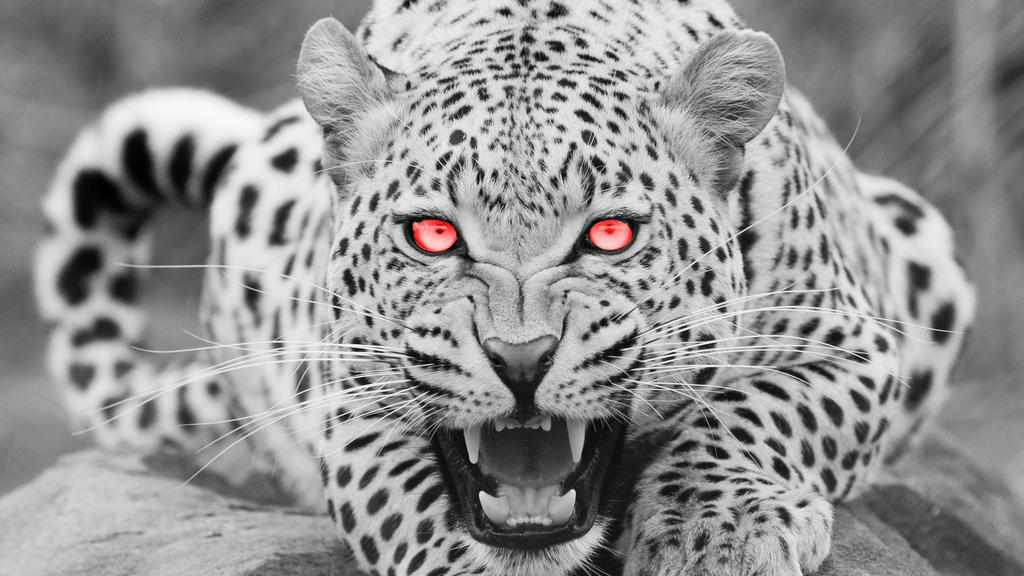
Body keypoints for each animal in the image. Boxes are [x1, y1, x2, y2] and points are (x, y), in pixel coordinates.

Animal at [35, 1, 975, 575]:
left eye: (609, 234)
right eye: (432, 234)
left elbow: (759, 411)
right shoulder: (351, 406)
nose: (521, 360)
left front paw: (718, 533)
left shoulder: (854, 343)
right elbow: (416, 514)